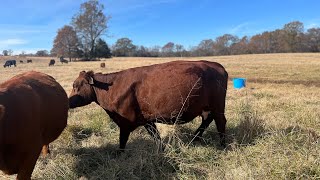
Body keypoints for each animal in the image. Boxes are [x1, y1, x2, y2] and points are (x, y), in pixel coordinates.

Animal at [69, 60, 229, 150]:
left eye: (76, 85)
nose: (69, 101)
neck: (111, 87)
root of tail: (215, 65)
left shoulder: (125, 122)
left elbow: (122, 141)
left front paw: (118, 155)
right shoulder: (147, 120)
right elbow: (156, 137)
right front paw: (162, 150)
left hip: (217, 106)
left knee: (220, 122)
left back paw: (222, 145)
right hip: (207, 107)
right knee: (207, 120)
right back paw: (194, 139)